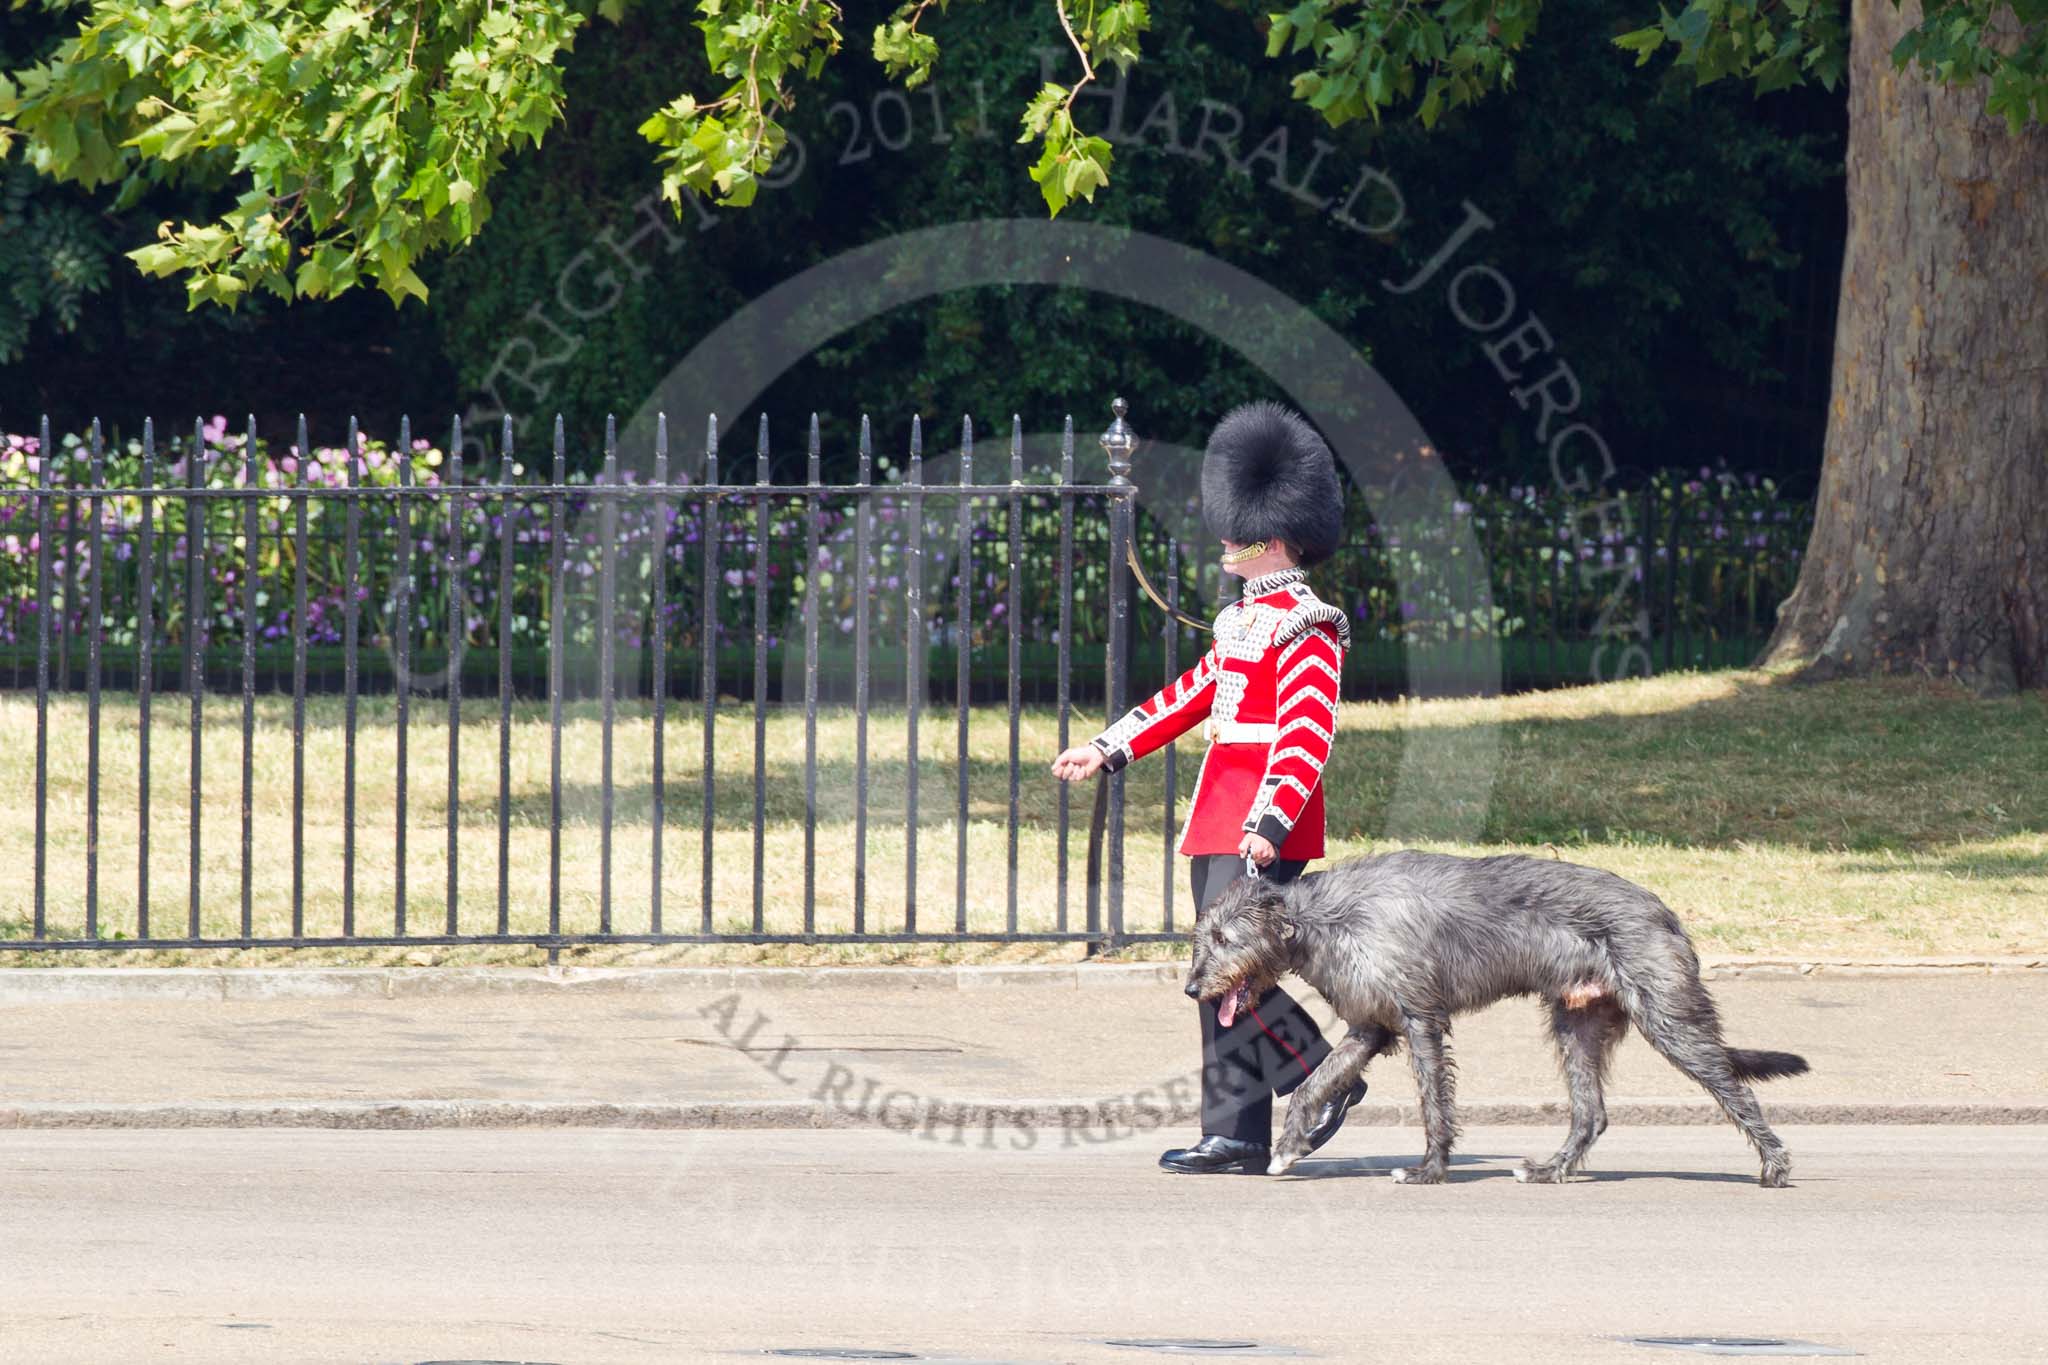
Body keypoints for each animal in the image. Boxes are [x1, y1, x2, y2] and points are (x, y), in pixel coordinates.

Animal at [1187, 847, 1810, 1186]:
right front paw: (1289, 1147)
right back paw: (1548, 1170)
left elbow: (1434, 1103)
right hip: (1578, 1021)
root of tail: (1667, 913)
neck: (1321, 920)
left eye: (1224, 939)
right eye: (1201, 939)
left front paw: (1428, 1171)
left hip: (1667, 1016)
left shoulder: (1420, 1018)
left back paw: (1776, 1166)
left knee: (1733, 1087)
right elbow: (1313, 1084)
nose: (1193, 988)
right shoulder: (1372, 1026)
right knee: (1592, 1114)